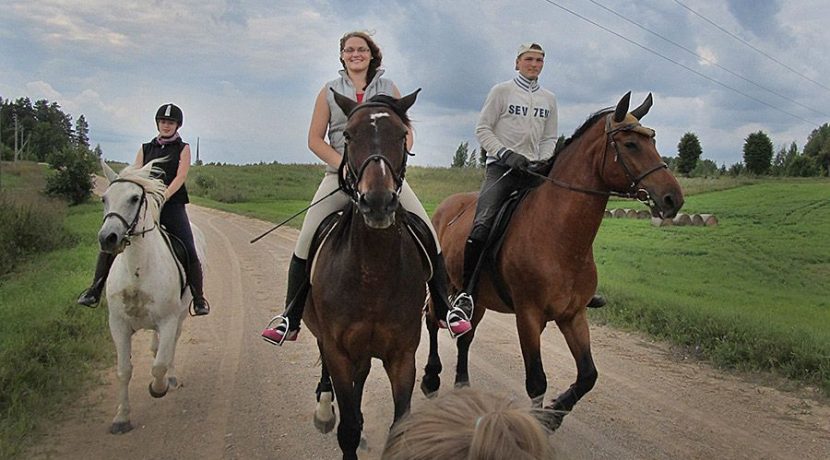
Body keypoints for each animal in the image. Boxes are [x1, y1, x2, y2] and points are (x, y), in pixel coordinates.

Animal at [98, 159, 207, 434]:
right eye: (104, 198)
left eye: (135, 198)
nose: (108, 238)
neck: (138, 270)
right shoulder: (118, 324)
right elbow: (124, 370)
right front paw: (121, 417)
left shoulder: (168, 321)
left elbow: (159, 364)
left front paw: (158, 388)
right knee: (156, 347)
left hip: (180, 316)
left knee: (170, 348)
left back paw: (171, 378)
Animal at [302, 90, 428, 460]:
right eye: (348, 135)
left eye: (401, 136)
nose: (378, 202)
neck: (373, 273)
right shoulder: (339, 352)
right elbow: (346, 428)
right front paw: (340, 421)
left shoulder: (402, 356)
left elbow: (398, 428)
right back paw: (324, 410)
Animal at [426, 91, 684, 430]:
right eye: (631, 144)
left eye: (652, 140)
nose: (673, 198)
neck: (560, 239)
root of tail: (445, 207)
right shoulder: (528, 316)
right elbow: (537, 380)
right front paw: (540, 421)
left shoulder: (573, 315)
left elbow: (588, 374)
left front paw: (555, 412)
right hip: (444, 286)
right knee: (432, 321)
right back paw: (430, 379)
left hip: (477, 299)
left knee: (465, 337)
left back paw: (463, 386)